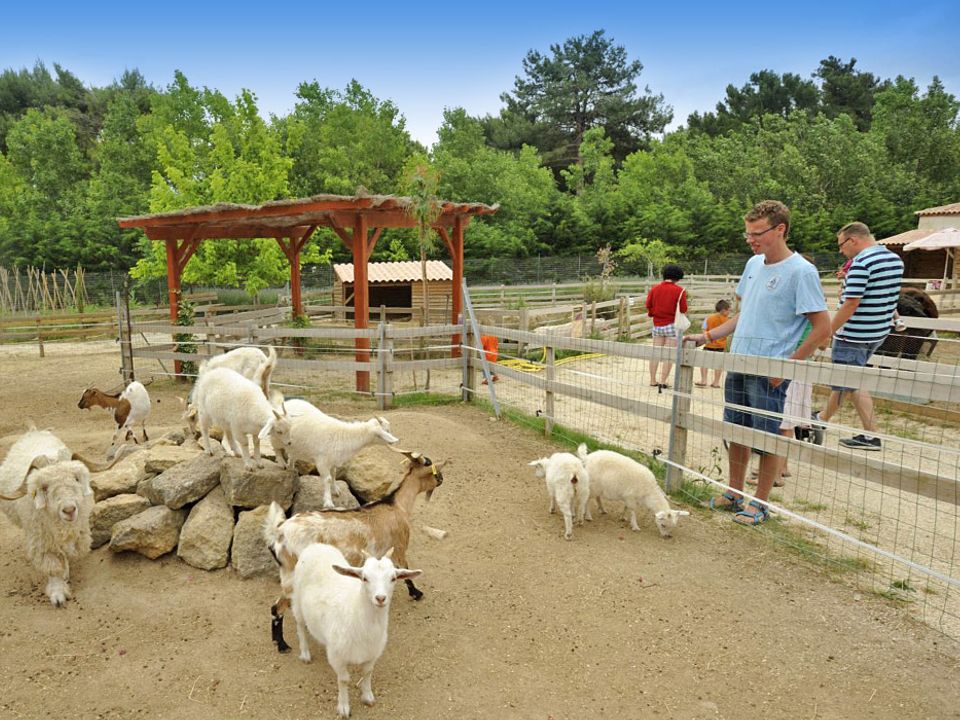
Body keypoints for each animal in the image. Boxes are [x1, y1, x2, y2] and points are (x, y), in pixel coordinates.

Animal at [260, 452, 444, 656]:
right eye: (432, 467)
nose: (442, 479)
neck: (396, 506)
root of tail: (279, 532)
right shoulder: (399, 546)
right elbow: (405, 570)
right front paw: (416, 593)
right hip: (292, 575)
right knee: (277, 607)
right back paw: (282, 644)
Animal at [292, 544, 420, 716]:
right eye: (364, 578)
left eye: (393, 578)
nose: (380, 598)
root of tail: (316, 545)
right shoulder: (338, 657)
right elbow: (344, 680)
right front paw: (343, 707)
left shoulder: (372, 653)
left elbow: (367, 673)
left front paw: (367, 697)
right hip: (297, 600)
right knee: (300, 626)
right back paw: (305, 653)